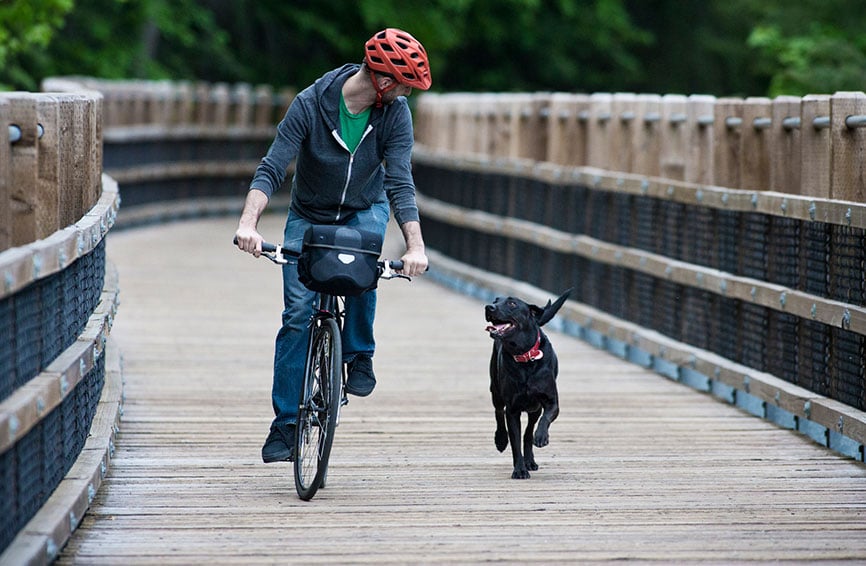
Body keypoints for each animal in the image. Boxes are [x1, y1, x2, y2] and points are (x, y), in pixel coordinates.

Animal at [482, 288, 572, 480]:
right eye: (495, 300)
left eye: (512, 303)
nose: (489, 307)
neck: (524, 356)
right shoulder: (512, 410)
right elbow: (515, 442)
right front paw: (519, 470)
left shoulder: (551, 402)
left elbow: (545, 419)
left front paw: (541, 437)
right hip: (496, 390)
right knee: (498, 412)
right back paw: (501, 440)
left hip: (534, 408)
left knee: (529, 432)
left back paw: (531, 459)